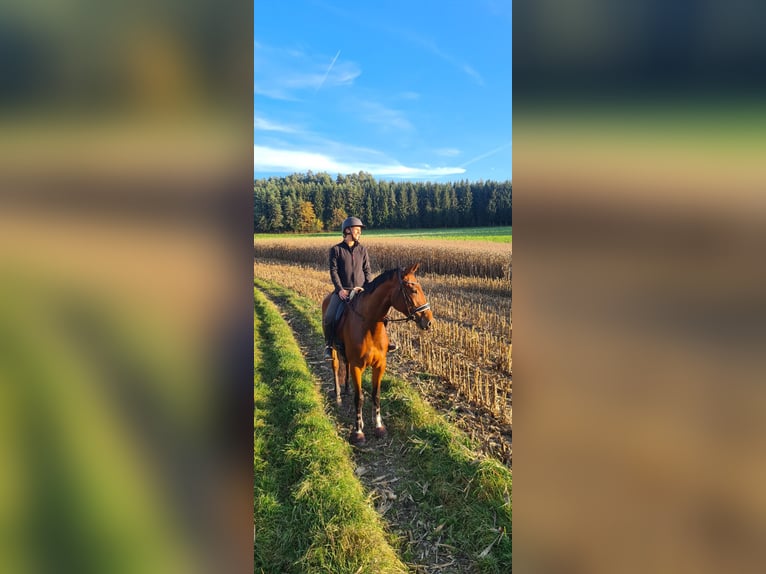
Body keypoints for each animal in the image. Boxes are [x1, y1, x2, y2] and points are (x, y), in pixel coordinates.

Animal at [320, 264, 436, 448]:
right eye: (413, 290)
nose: (429, 321)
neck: (369, 324)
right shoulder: (357, 366)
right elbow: (359, 398)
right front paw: (358, 432)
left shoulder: (380, 365)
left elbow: (376, 395)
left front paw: (379, 426)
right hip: (332, 350)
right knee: (336, 367)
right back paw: (338, 396)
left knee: (345, 366)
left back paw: (346, 389)